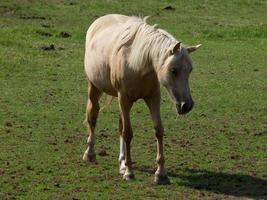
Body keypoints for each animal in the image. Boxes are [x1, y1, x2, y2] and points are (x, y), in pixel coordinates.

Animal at [82, 14, 202, 185]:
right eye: (173, 70)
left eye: (190, 70)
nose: (187, 105)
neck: (137, 63)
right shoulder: (124, 98)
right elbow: (127, 133)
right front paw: (129, 172)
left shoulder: (153, 98)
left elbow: (158, 130)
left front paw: (161, 173)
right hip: (95, 87)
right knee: (93, 116)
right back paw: (90, 153)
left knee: (119, 125)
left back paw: (122, 163)